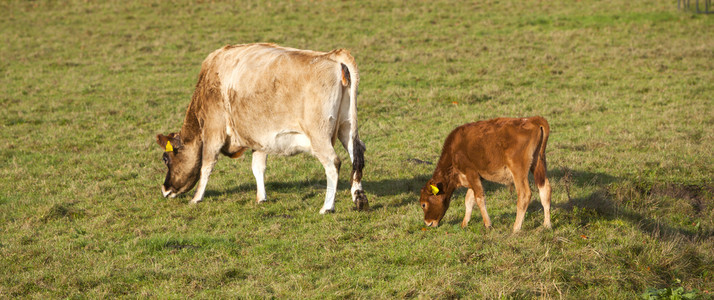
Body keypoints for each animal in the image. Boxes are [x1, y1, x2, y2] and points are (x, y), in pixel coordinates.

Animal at [156, 43, 368, 214]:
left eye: (166, 158)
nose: (165, 189)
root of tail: (333, 55)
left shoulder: (213, 130)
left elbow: (206, 165)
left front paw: (196, 198)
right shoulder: (259, 139)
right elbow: (258, 167)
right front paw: (261, 198)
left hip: (319, 135)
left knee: (333, 163)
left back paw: (327, 207)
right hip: (347, 127)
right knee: (357, 156)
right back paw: (359, 199)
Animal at [418, 116, 552, 232]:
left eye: (423, 204)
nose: (428, 223)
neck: (454, 150)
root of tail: (531, 120)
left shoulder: (471, 172)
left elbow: (479, 198)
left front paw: (488, 224)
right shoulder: (477, 177)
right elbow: (469, 199)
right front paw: (464, 224)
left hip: (518, 170)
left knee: (524, 194)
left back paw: (515, 228)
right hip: (538, 164)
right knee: (545, 189)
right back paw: (547, 225)